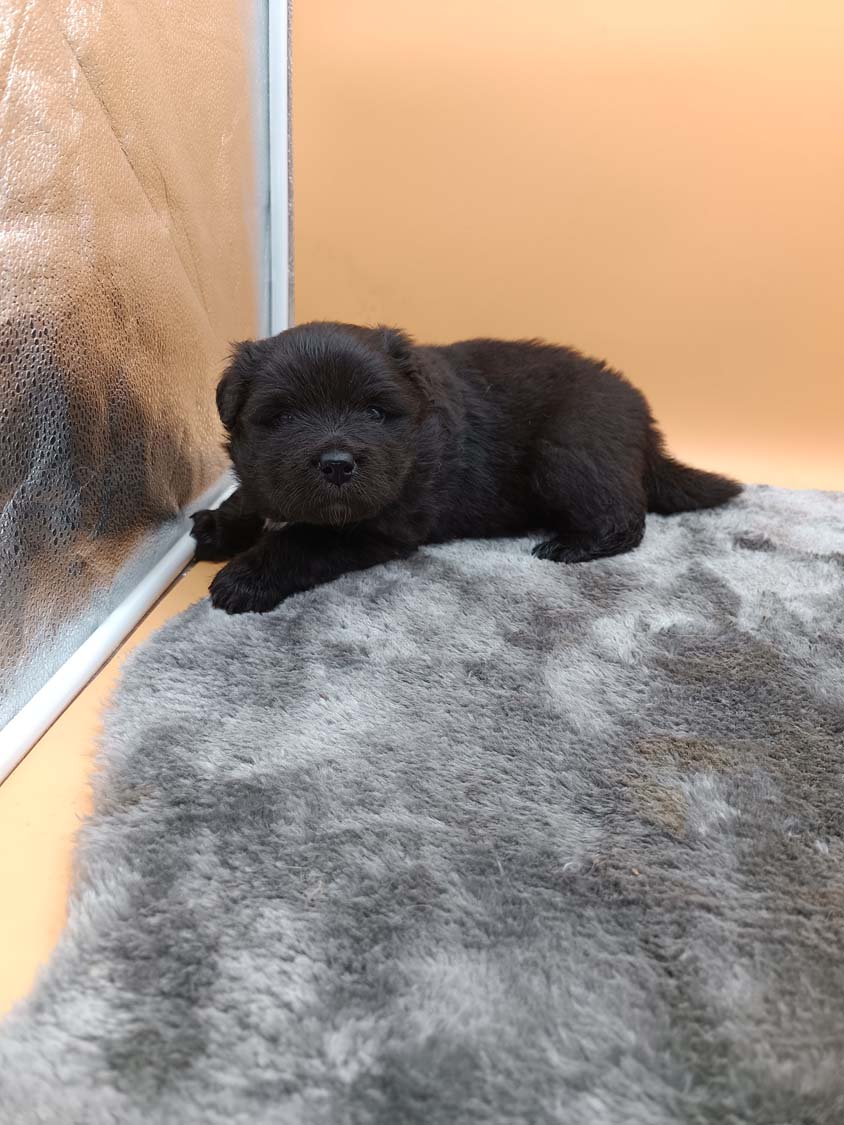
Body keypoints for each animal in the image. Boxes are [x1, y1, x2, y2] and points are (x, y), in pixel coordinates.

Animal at [191, 321, 741, 614]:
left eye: (375, 412)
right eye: (282, 417)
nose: (337, 465)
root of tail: (644, 418)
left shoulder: (379, 524)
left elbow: (301, 538)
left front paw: (248, 576)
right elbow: (250, 494)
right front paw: (219, 525)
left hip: (568, 455)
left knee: (625, 516)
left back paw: (572, 545)